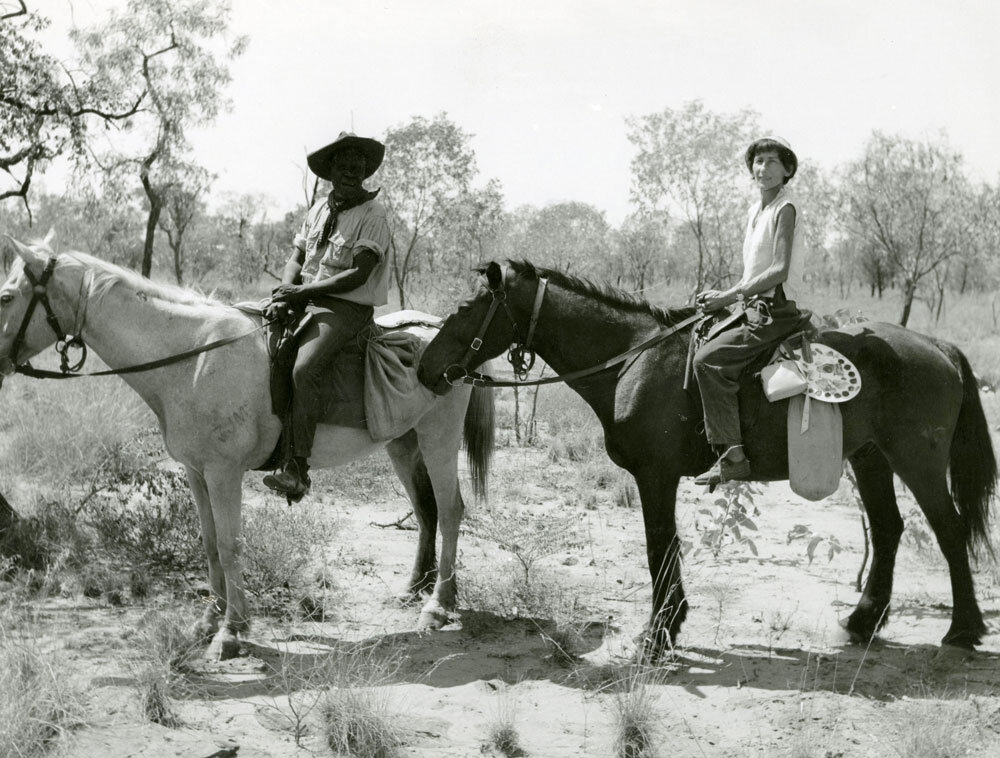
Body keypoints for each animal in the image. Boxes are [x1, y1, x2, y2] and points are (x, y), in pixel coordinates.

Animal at [1, 238, 494, 660]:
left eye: (6, 297)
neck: (193, 358)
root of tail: (442, 332)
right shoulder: (196, 472)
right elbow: (209, 542)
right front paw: (208, 619)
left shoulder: (224, 473)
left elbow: (230, 542)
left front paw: (231, 631)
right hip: (402, 443)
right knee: (427, 509)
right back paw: (416, 588)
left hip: (437, 439)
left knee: (451, 510)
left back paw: (438, 605)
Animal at [418, 262, 996, 660]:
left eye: (467, 308)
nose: (425, 368)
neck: (632, 359)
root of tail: (938, 345)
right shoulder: (659, 478)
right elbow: (667, 548)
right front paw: (669, 625)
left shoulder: (655, 476)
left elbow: (659, 547)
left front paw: (658, 633)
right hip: (871, 457)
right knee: (890, 528)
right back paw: (863, 622)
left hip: (916, 459)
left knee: (948, 528)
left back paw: (963, 630)